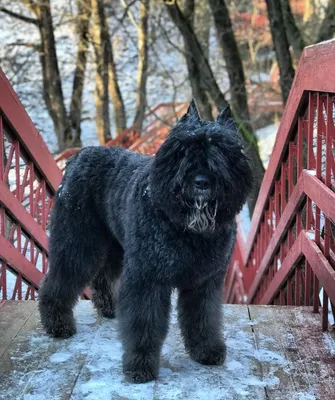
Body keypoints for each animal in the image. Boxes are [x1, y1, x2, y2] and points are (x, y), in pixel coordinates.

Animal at [39, 101, 253, 382]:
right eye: (181, 151)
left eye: (224, 151)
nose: (201, 181)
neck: (186, 229)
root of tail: (77, 158)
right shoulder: (147, 278)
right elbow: (144, 322)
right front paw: (140, 364)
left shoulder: (204, 281)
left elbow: (204, 317)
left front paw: (206, 349)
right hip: (77, 242)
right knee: (60, 279)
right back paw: (57, 324)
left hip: (114, 247)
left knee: (102, 277)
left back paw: (109, 308)